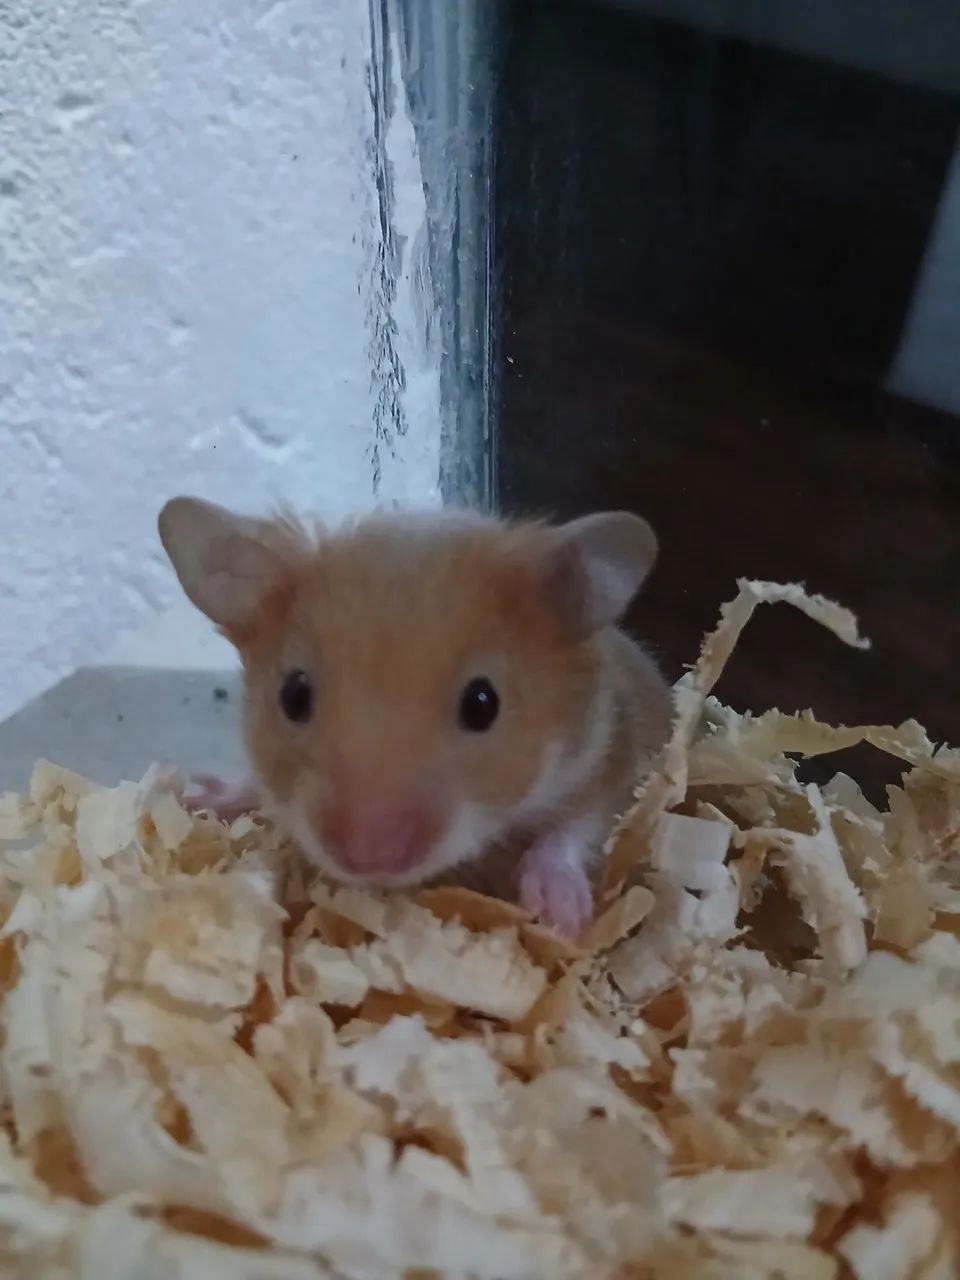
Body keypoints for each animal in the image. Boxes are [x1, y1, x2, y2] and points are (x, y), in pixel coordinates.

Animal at [157, 499, 673, 936]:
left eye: (483, 703)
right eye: (294, 696)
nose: (369, 858)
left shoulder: (614, 753)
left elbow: (578, 826)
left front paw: (559, 919)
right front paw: (200, 798)